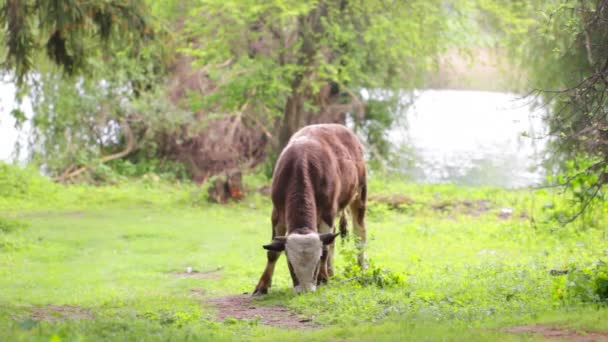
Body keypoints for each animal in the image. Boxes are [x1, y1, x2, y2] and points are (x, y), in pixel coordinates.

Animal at [251, 124, 366, 296]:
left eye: (316, 263)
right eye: (290, 264)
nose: (305, 290)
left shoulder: (328, 213)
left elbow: (325, 249)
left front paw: (322, 279)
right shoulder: (277, 213)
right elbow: (272, 252)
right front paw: (262, 285)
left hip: (360, 194)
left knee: (359, 234)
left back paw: (360, 267)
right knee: (333, 239)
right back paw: (331, 272)